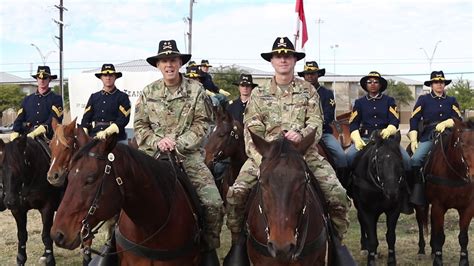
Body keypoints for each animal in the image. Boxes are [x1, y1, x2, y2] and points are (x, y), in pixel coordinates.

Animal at [0, 136, 62, 266]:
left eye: (19, 167)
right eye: (1, 167)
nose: (9, 201)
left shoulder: (47, 207)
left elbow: (46, 235)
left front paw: (50, 259)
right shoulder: (17, 210)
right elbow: (22, 235)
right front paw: (21, 258)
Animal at [352, 131, 408, 266]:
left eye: (399, 161)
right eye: (379, 162)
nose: (392, 192)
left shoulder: (394, 209)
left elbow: (391, 236)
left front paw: (392, 260)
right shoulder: (366, 210)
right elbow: (372, 238)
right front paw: (371, 260)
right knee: (362, 223)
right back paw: (364, 248)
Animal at [418, 119, 474, 264]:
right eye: (462, 144)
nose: (473, 175)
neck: (455, 174)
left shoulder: (468, 208)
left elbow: (463, 237)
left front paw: (464, 261)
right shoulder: (439, 206)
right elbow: (440, 236)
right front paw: (438, 260)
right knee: (421, 222)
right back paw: (422, 249)